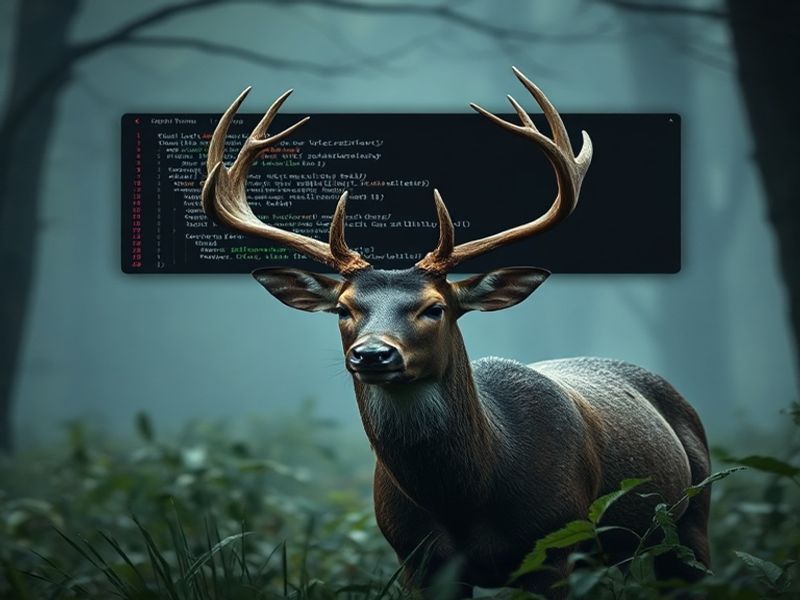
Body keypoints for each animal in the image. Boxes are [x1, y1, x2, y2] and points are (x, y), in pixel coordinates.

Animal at [201, 67, 711, 597]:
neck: (467, 499)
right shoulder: (417, 560)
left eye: (435, 308)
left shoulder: (555, 547)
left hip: (692, 516)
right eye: (343, 308)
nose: (372, 355)